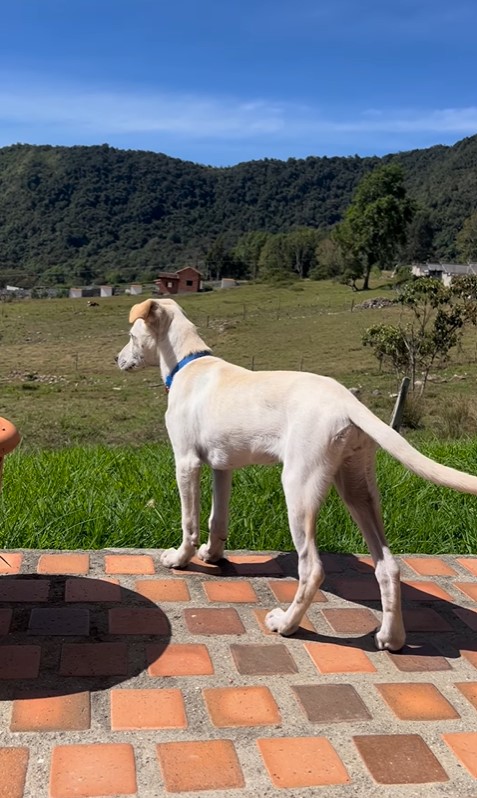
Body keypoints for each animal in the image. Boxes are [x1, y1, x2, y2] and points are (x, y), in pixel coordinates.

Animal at [116, 296, 477, 652]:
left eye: (132, 336)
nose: (116, 358)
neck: (187, 363)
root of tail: (346, 401)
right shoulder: (223, 466)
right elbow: (217, 519)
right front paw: (212, 555)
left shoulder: (186, 462)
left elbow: (189, 521)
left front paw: (181, 558)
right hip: (358, 488)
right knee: (388, 565)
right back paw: (392, 638)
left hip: (299, 486)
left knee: (313, 568)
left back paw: (287, 624)